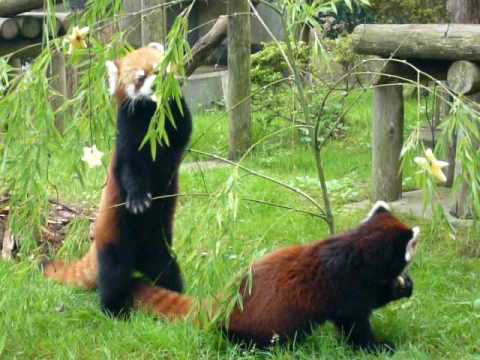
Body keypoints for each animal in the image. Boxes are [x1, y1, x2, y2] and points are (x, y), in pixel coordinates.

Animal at [41, 43, 191, 316]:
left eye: (159, 69)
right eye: (140, 78)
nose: (156, 84)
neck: (150, 116)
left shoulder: (172, 132)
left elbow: (182, 130)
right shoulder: (127, 137)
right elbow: (130, 170)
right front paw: (138, 199)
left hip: (158, 245)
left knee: (166, 269)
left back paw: (173, 289)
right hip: (115, 240)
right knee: (114, 275)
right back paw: (114, 311)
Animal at [133, 201, 418, 352]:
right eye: (414, 246)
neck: (356, 249)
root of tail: (220, 301)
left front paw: (403, 287)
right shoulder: (347, 285)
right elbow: (354, 323)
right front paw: (378, 346)